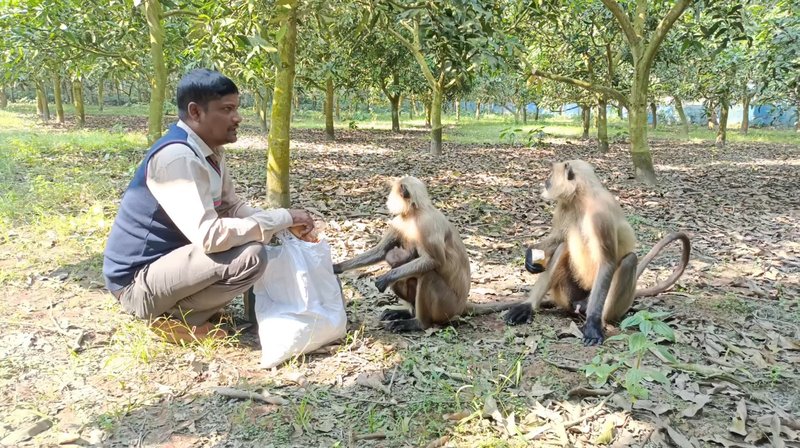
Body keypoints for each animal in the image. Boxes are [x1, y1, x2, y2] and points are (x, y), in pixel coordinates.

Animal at [333, 176, 521, 332]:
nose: (387, 200)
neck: (415, 213)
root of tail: (462, 305)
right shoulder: (400, 221)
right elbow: (380, 252)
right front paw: (336, 267)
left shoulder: (426, 225)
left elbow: (434, 261)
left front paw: (386, 277)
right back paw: (408, 313)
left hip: (446, 306)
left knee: (427, 275)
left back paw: (418, 323)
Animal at [505, 160, 691, 345]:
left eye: (551, 175)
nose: (546, 181)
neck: (582, 198)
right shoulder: (565, 205)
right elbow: (558, 238)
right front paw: (530, 256)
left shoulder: (599, 215)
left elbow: (607, 262)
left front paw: (593, 325)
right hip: (566, 294)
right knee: (563, 247)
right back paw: (528, 306)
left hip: (613, 304)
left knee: (629, 260)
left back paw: (599, 320)